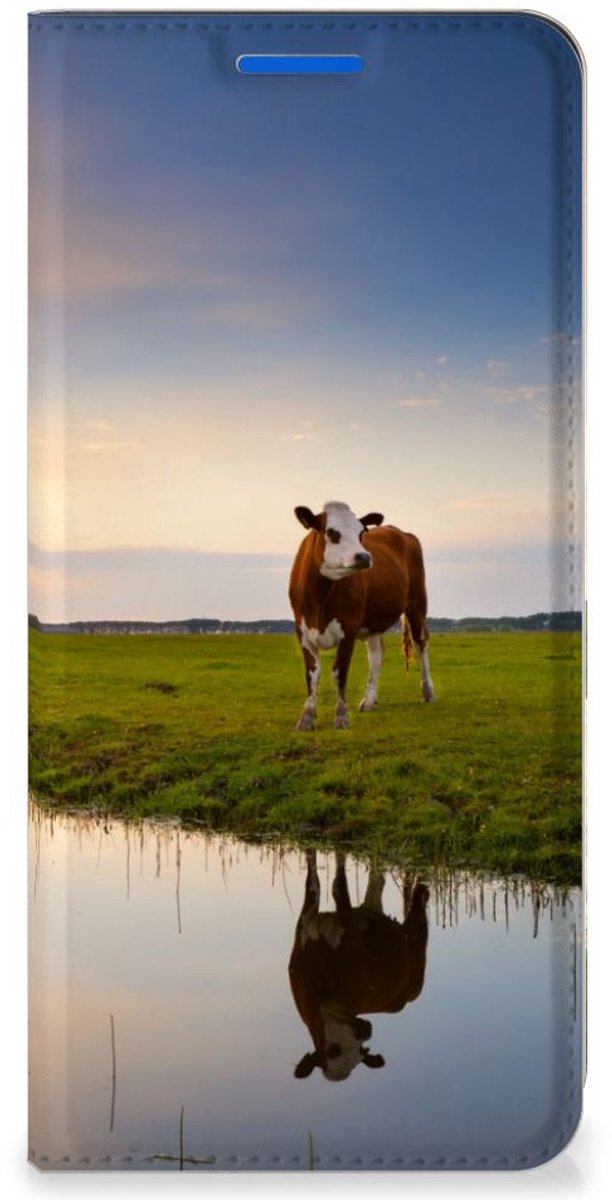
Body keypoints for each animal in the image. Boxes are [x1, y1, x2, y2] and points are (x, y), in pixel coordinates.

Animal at [288, 500, 435, 730]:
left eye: (361, 533)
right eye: (332, 533)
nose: (364, 556)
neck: (320, 597)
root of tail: (401, 532)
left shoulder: (348, 627)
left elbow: (340, 672)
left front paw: (341, 717)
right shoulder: (302, 630)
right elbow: (312, 674)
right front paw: (306, 718)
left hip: (417, 604)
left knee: (421, 645)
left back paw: (428, 692)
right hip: (373, 622)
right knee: (376, 656)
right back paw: (368, 701)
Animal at [288, 850, 429, 1082]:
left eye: (361, 1052)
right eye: (333, 1050)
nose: (365, 1031)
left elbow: (338, 887)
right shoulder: (305, 925)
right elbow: (313, 879)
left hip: (417, 955)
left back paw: (422, 890)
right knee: (377, 881)